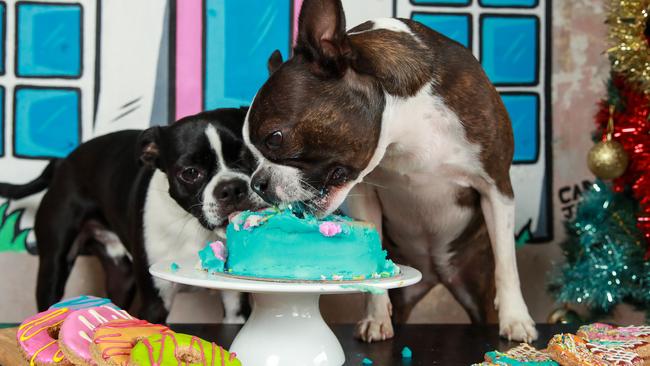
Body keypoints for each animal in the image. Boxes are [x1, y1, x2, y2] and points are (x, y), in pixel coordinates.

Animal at [0, 108, 260, 324]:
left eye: (251, 156)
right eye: (190, 173)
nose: (231, 188)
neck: (194, 227)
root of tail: (62, 162)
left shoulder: (235, 304)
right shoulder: (155, 302)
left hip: (121, 276)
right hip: (54, 266)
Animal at [243, 0, 536, 344]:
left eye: (275, 138)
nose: (258, 183)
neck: (406, 128)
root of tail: (435, 273)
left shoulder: (496, 187)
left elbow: (507, 262)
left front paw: (516, 319)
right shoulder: (364, 194)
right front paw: (376, 318)